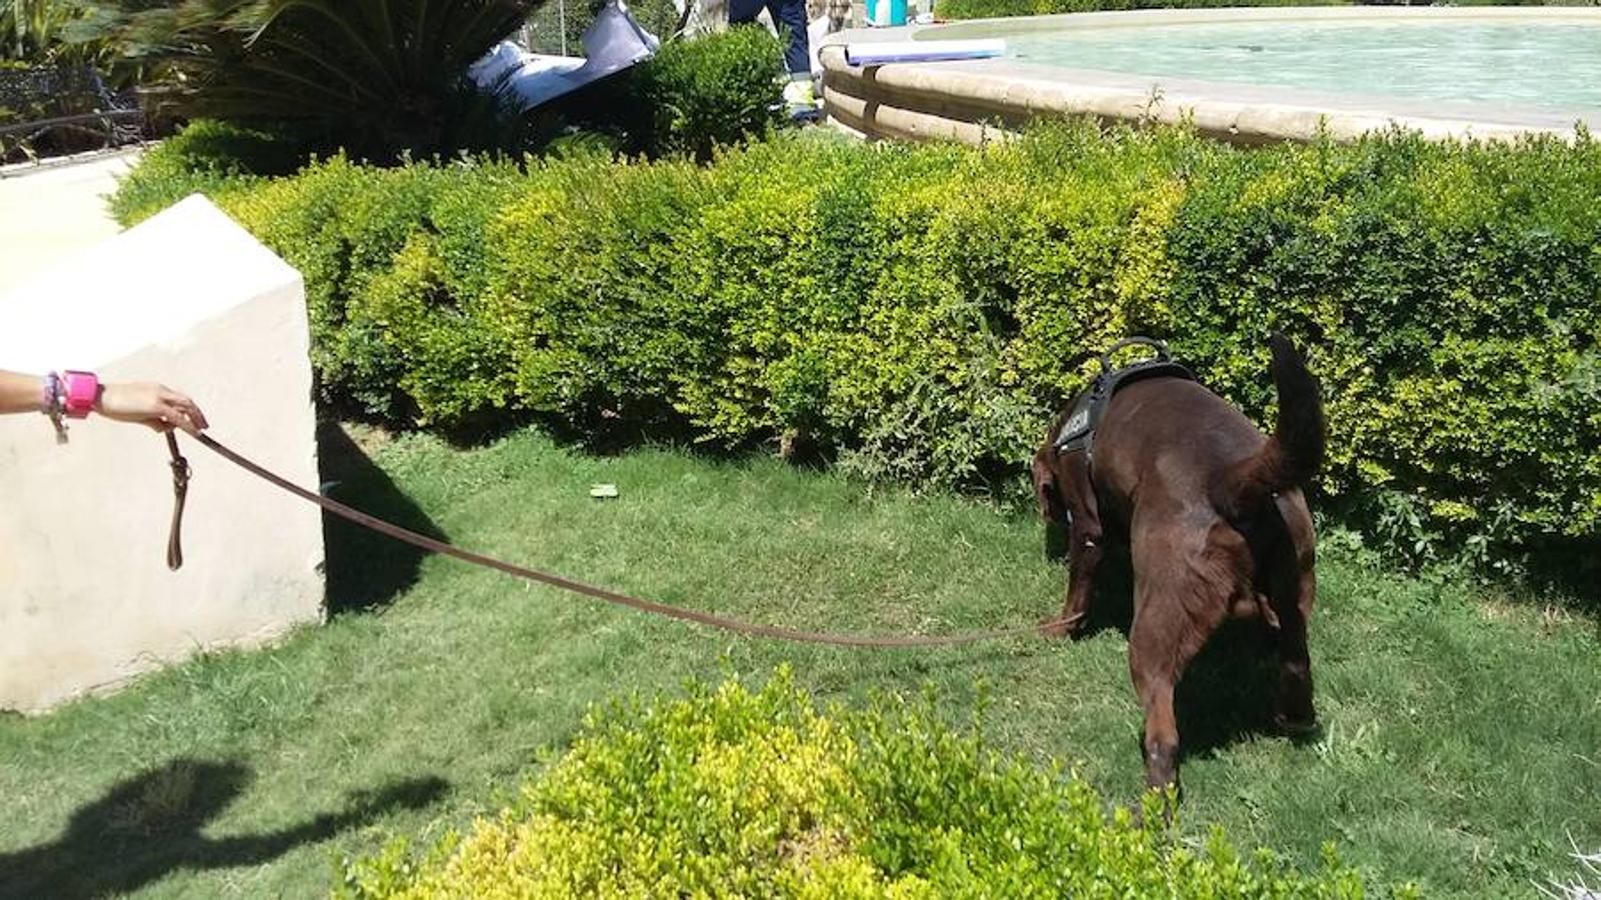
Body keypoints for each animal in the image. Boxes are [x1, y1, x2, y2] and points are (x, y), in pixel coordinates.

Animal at [1031, 333, 1332, 787]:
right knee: (1296, 660)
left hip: (1159, 615)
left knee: (1162, 727)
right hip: (1296, 581)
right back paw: (1292, 715)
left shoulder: (1087, 525)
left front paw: (1061, 628)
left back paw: (1156, 795)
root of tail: (1233, 479)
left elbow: (1078, 590)